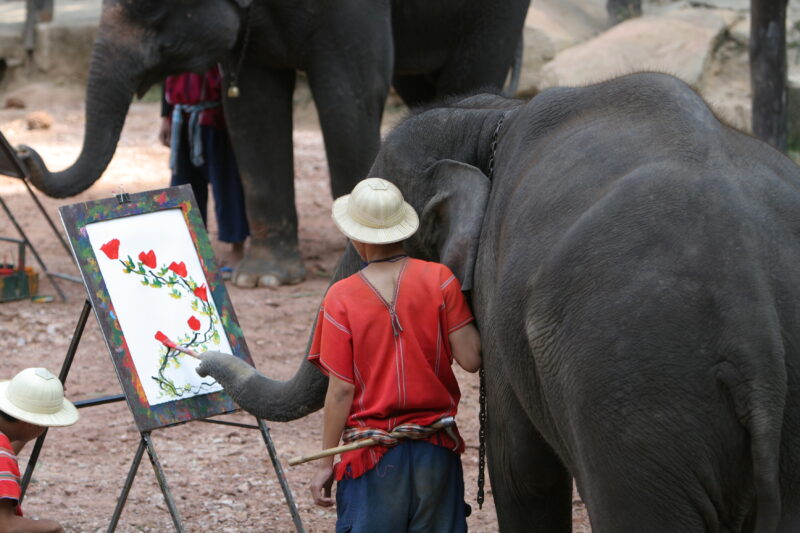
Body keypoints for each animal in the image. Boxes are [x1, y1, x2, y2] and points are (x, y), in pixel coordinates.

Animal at [19, 0, 530, 287]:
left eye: (146, 6)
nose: (24, 151)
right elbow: (251, 107)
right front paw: (264, 278)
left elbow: (350, 92)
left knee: (469, 71)